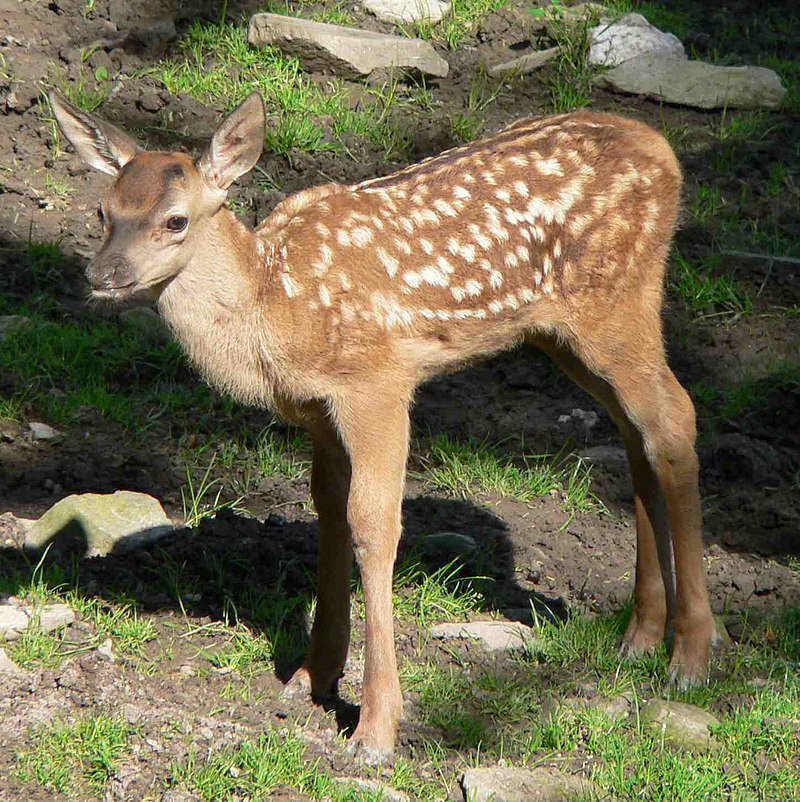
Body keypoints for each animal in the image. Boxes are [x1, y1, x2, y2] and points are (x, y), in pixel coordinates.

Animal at [49, 90, 716, 762]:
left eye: (175, 221)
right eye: (104, 211)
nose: (102, 275)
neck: (274, 305)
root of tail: (663, 151)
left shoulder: (377, 383)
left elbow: (372, 524)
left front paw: (374, 728)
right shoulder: (319, 410)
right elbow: (329, 511)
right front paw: (311, 674)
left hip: (617, 301)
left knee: (674, 418)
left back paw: (689, 656)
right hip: (564, 333)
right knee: (635, 430)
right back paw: (639, 635)